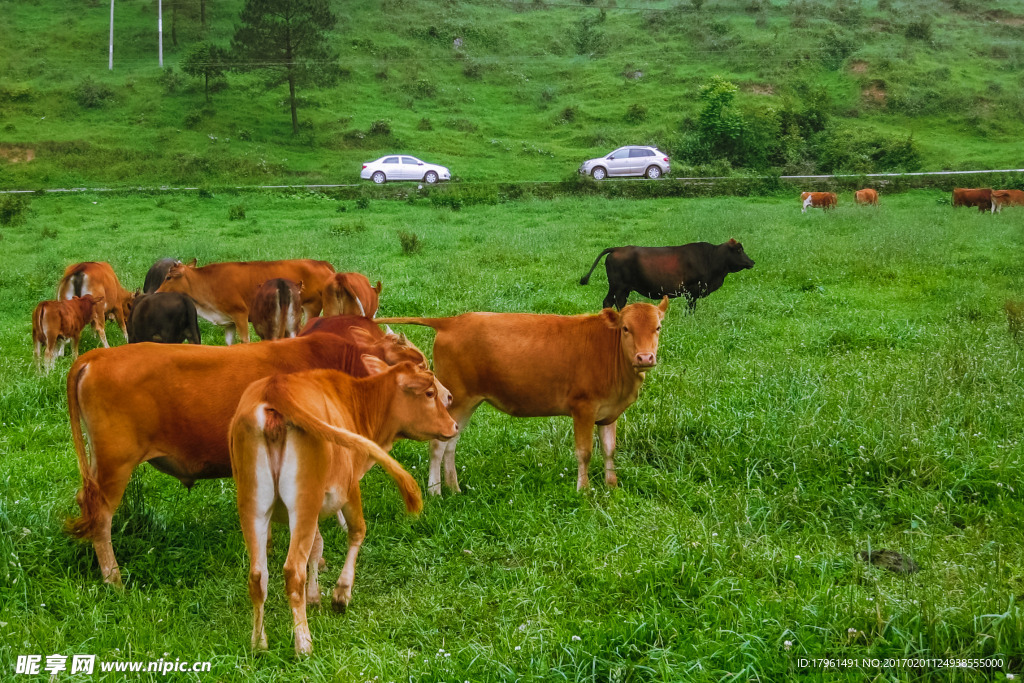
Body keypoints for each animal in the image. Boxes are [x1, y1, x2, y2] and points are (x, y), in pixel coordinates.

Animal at [65, 327, 428, 585]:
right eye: (422, 370)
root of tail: (97, 357)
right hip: (115, 463)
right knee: (101, 516)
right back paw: (113, 579)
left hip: (101, 463)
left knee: (87, 502)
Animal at [156, 259, 335, 344]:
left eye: (168, 277)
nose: (156, 293)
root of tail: (321, 263)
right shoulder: (228, 322)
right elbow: (229, 342)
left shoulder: (240, 314)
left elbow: (244, 340)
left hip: (312, 307)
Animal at [234, 360, 458, 655]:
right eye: (430, 393)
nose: (455, 425)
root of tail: (275, 387)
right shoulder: (349, 489)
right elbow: (357, 532)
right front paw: (341, 593)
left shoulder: (315, 508)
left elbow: (317, 546)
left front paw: (314, 597)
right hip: (302, 501)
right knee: (292, 570)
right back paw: (303, 645)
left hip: (254, 505)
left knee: (258, 576)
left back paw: (258, 644)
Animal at [380, 299, 667, 497]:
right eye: (626, 328)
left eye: (658, 327)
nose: (645, 357)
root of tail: (452, 321)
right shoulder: (583, 408)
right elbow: (584, 452)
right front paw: (583, 490)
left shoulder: (609, 413)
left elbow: (609, 450)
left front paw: (612, 486)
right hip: (456, 397)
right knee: (438, 445)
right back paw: (435, 492)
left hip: (466, 401)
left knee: (451, 443)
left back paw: (454, 488)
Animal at [581, 240, 757, 313]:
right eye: (739, 250)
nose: (752, 262)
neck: (710, 258)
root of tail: (618, 248)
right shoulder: (692, 290)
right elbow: (691, 308)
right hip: (617, 286)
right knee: (609, 302)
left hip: (623, 288)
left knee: (617, 302)